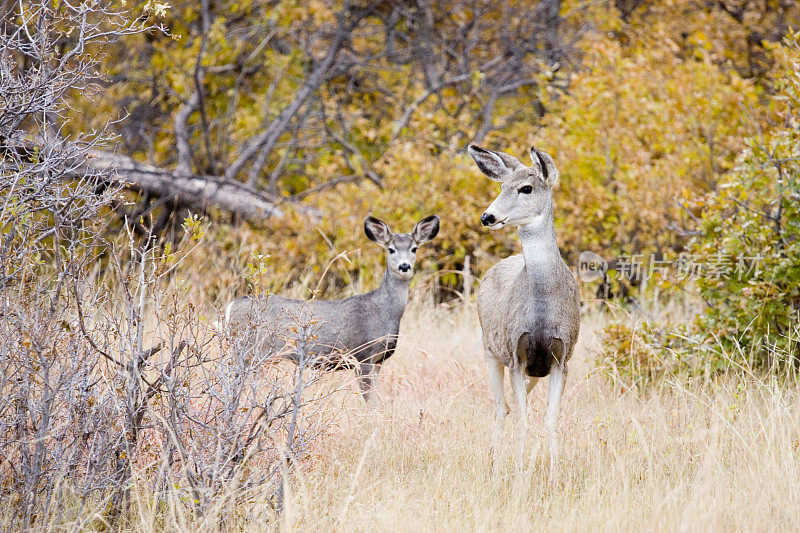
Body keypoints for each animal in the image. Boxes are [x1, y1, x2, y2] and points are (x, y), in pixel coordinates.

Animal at [222, 214, 440, 402]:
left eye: (414, 248)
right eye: (391, 249)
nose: (404, 266)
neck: (385, 311)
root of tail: (231, 307)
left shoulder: (379, 361)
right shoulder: (363, 355)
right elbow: (369, 400)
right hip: (250, 350)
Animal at [466, 143, 580, 472]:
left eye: (526, 188)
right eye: (501, 187)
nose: (487, 216)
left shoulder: (561, 359)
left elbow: (550, 421)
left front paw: (554, 474)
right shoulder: (516, 355)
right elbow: (524, 421)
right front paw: (518, 473)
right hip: (489, 349)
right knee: (502, 408)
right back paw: (494, 462)